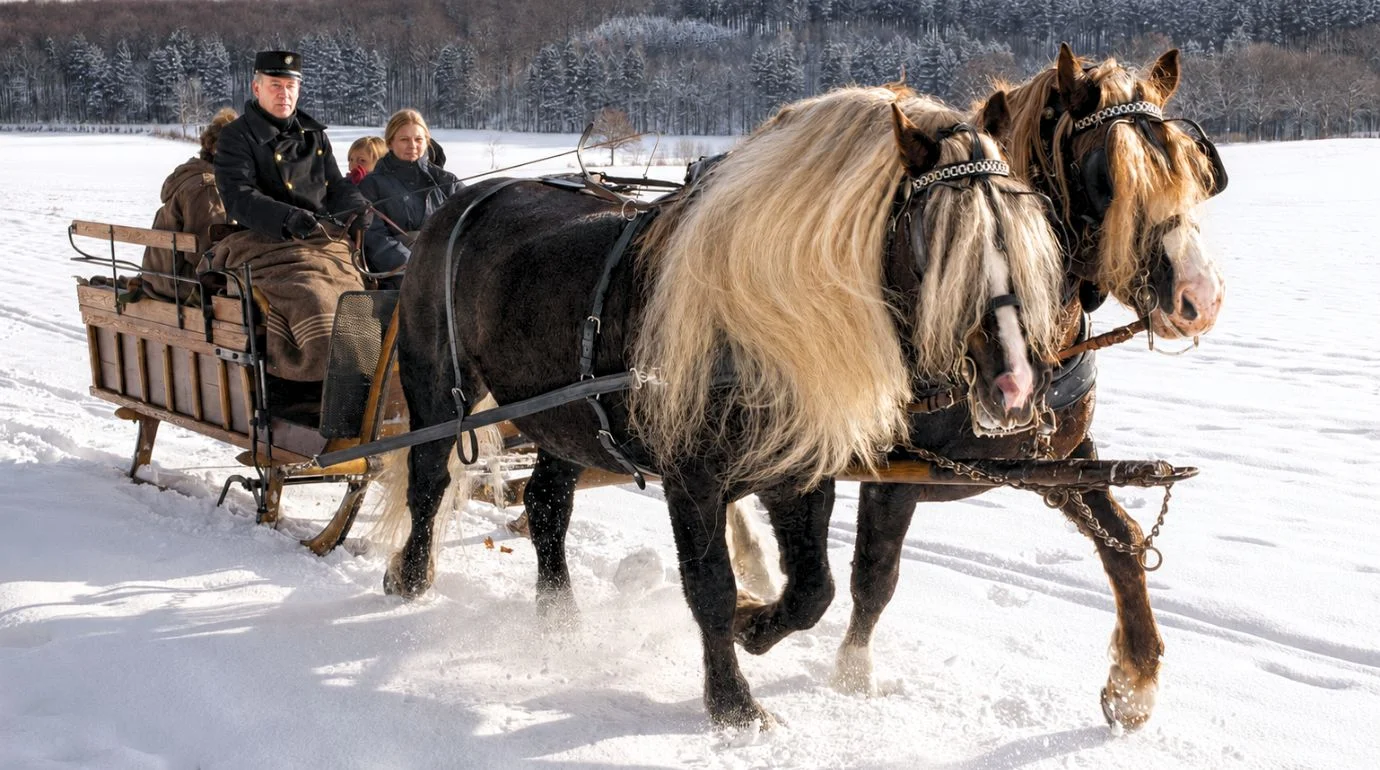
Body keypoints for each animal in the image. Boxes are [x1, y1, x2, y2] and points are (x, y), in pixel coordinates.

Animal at [381, 86, 1067, 726]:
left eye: (1025, 236)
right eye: (940, 242)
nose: (1015, 385)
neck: (754, 322)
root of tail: (464, 202)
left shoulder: (797, 472)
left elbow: (813, 589)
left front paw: (754, 627)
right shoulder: (692, 480)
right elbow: (709, 587)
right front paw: (734, 704)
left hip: (568, 420)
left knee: (547, 506)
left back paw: (558, 620)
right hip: (436, 383)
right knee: (428, 477)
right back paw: (410, 576)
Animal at [816, 45, 1229, 731]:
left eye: (1191, 165)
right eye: (1108, 175)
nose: (1201, 297)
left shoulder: (1063, 460)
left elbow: (1123, 542)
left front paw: (1134, 680)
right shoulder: (894, 471)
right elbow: (875, 573)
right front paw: (851, 677)